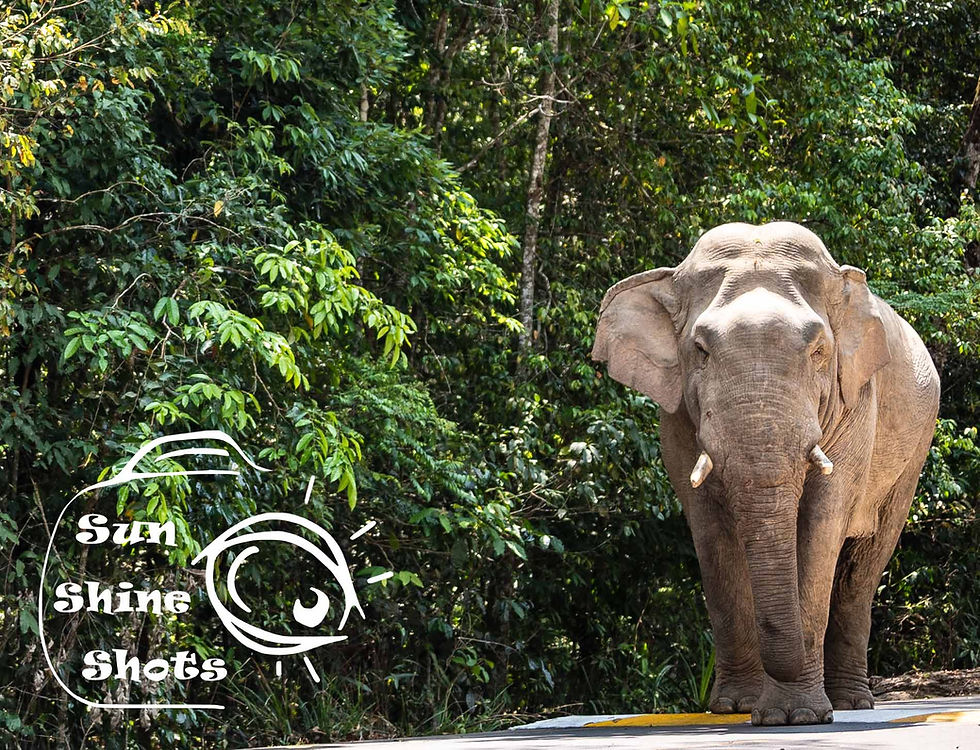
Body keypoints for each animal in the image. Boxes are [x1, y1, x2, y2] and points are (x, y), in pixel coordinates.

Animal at [591, 221, 940, 726]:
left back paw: (851, 702)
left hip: (913, 456)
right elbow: (712, 534)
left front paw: (795, 717)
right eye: (700, 350)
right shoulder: (675, 420)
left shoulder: (857, 405)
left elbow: (821, 526)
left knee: (863, 567)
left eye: (819, 351)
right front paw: (735, 708)